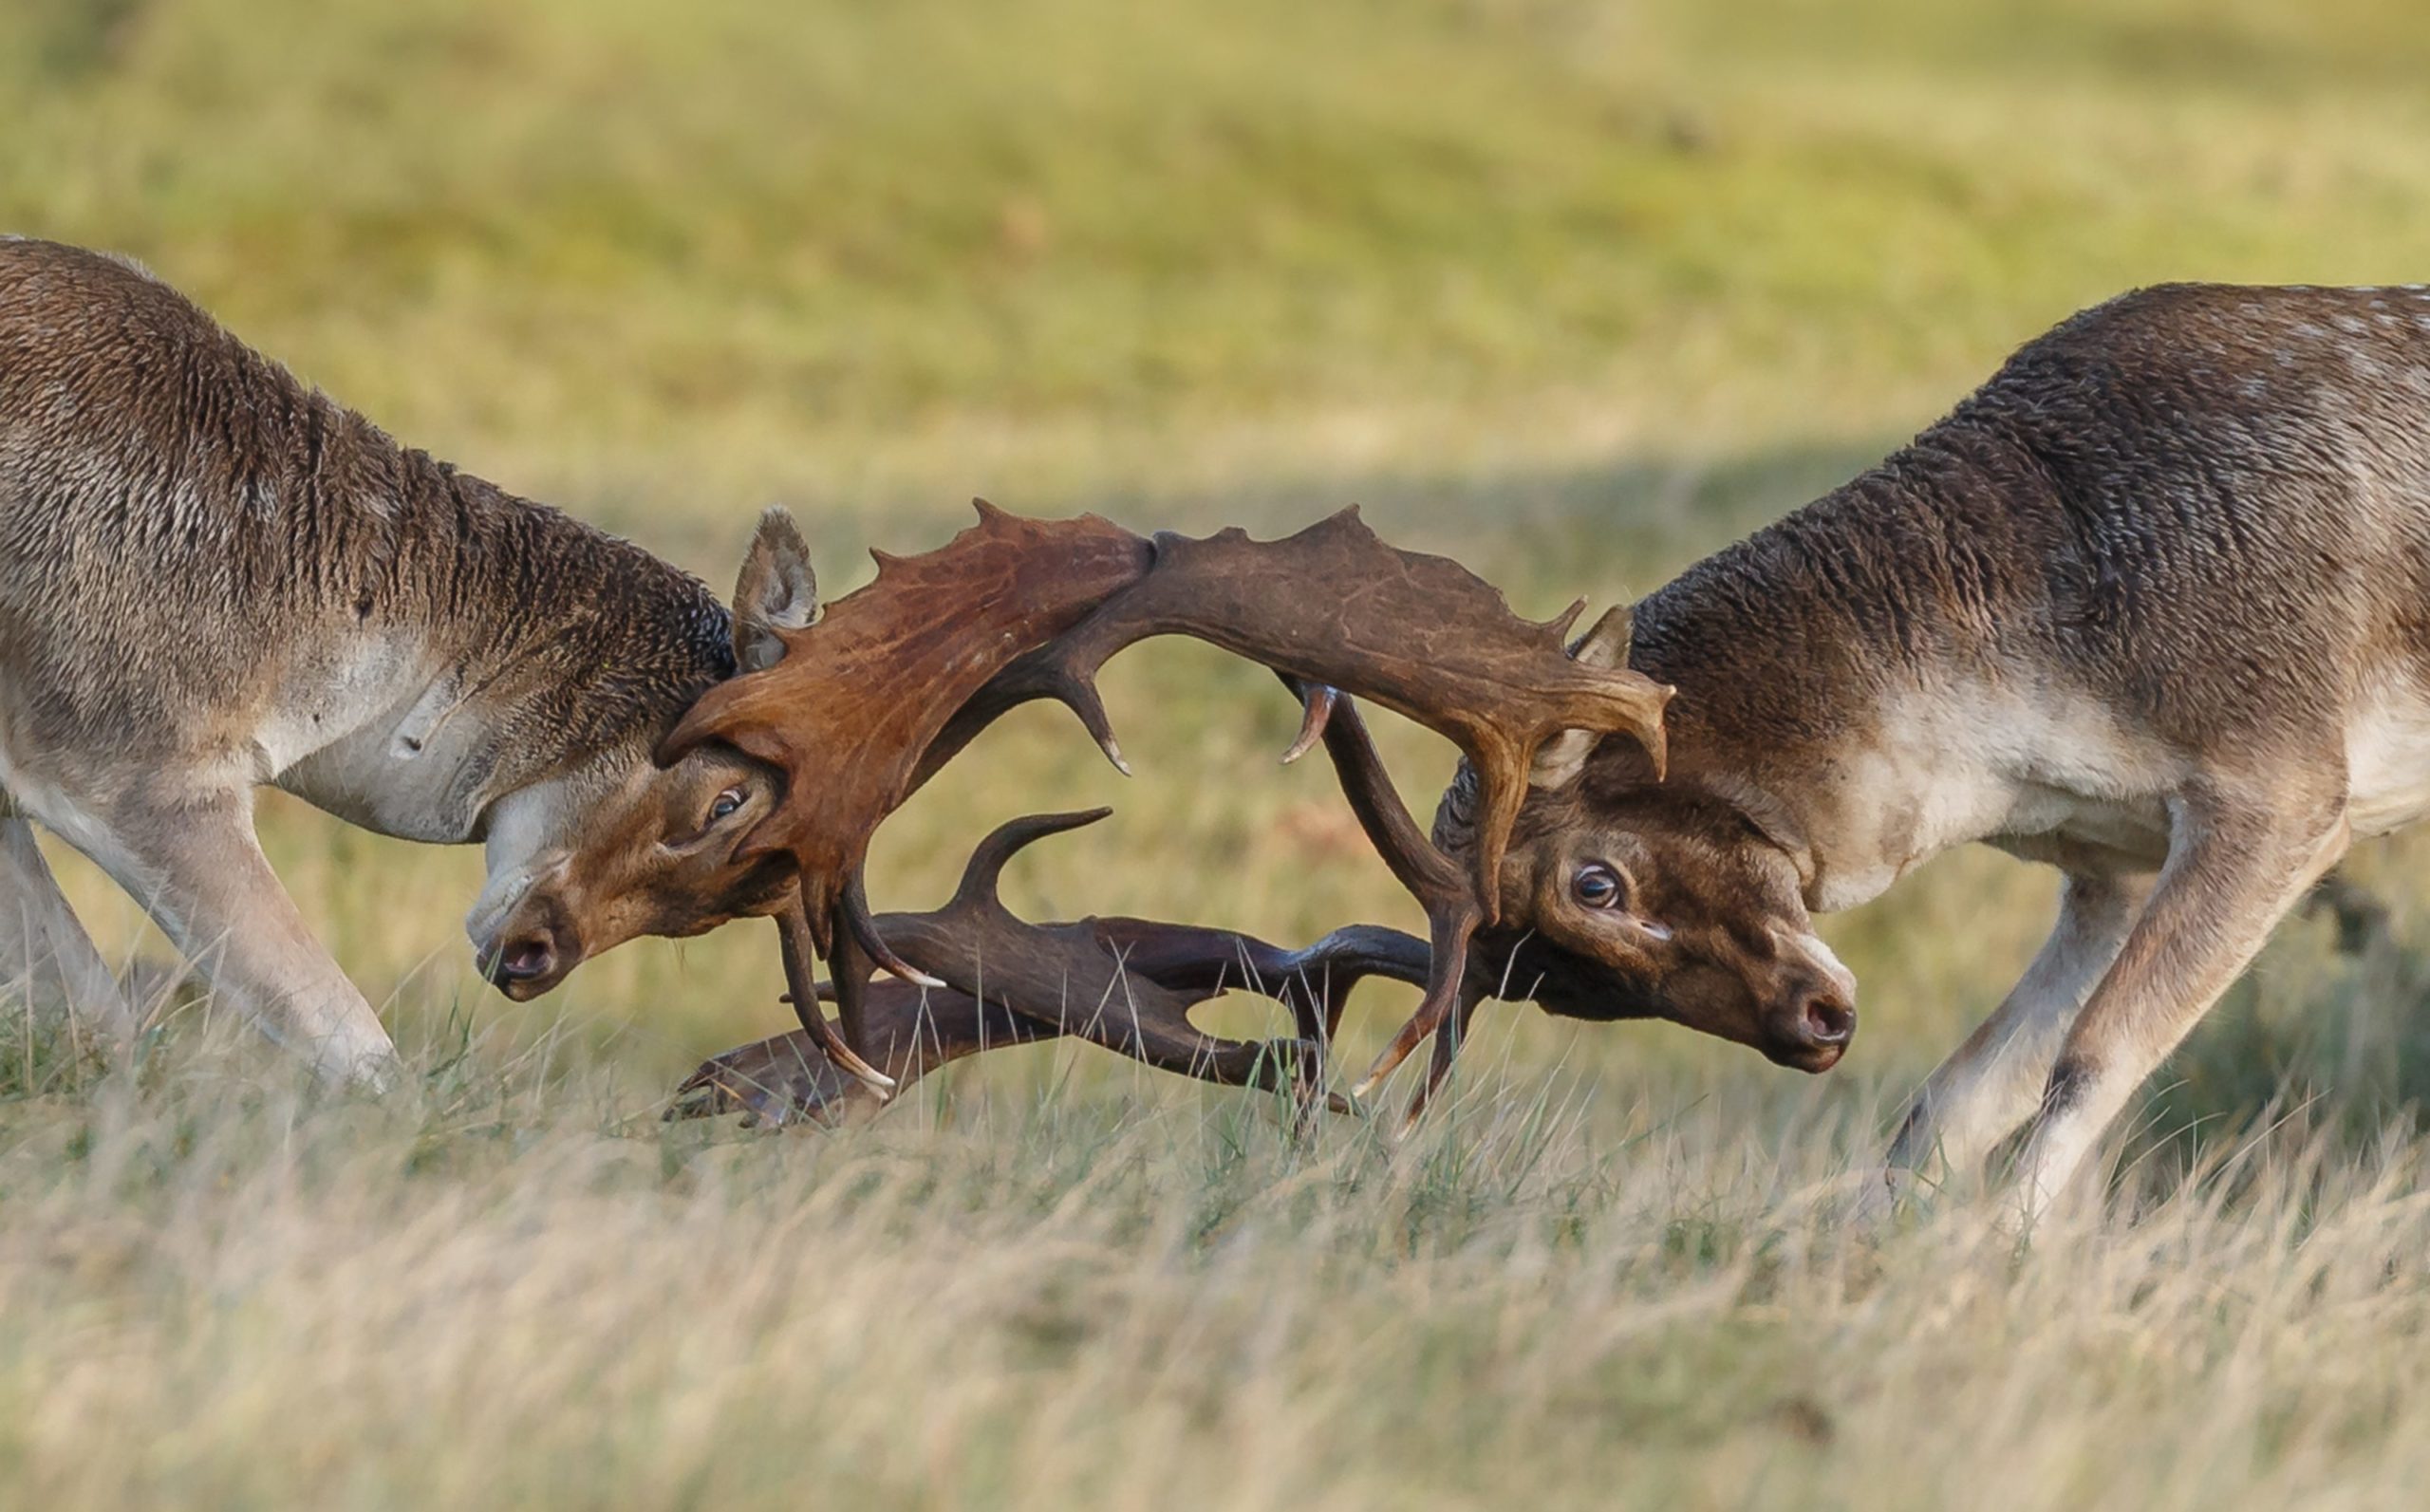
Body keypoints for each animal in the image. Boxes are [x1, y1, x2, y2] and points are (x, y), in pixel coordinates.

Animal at [0, 236, 869, 1084]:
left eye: (729, 906)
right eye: (726, 800)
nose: (533, 956)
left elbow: (84, 1013)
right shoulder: (131, 761)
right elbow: (348, 1039)